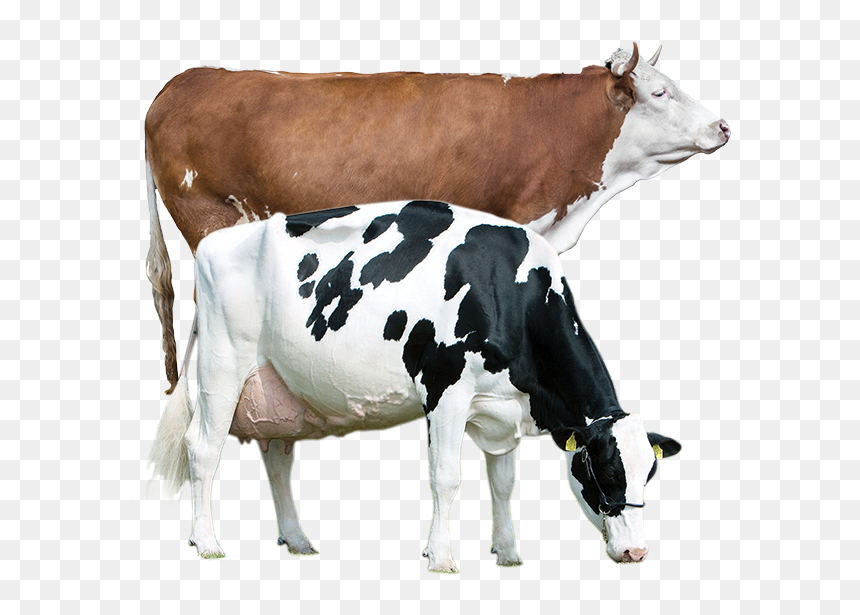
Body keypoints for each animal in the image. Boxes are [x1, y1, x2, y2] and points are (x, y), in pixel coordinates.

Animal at [149, 200, 681, 569]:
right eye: (605, 472)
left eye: (649, 474)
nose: (636, 552)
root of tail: (212, 242)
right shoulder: (445, 391)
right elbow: (446, 478)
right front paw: (441, 557)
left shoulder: (505, 406)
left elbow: (503, 484)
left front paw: (508, 552)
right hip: (222, 366)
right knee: (203, 450)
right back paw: (207, 542)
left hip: (282, 390)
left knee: (278, 461)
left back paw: (298, 540)